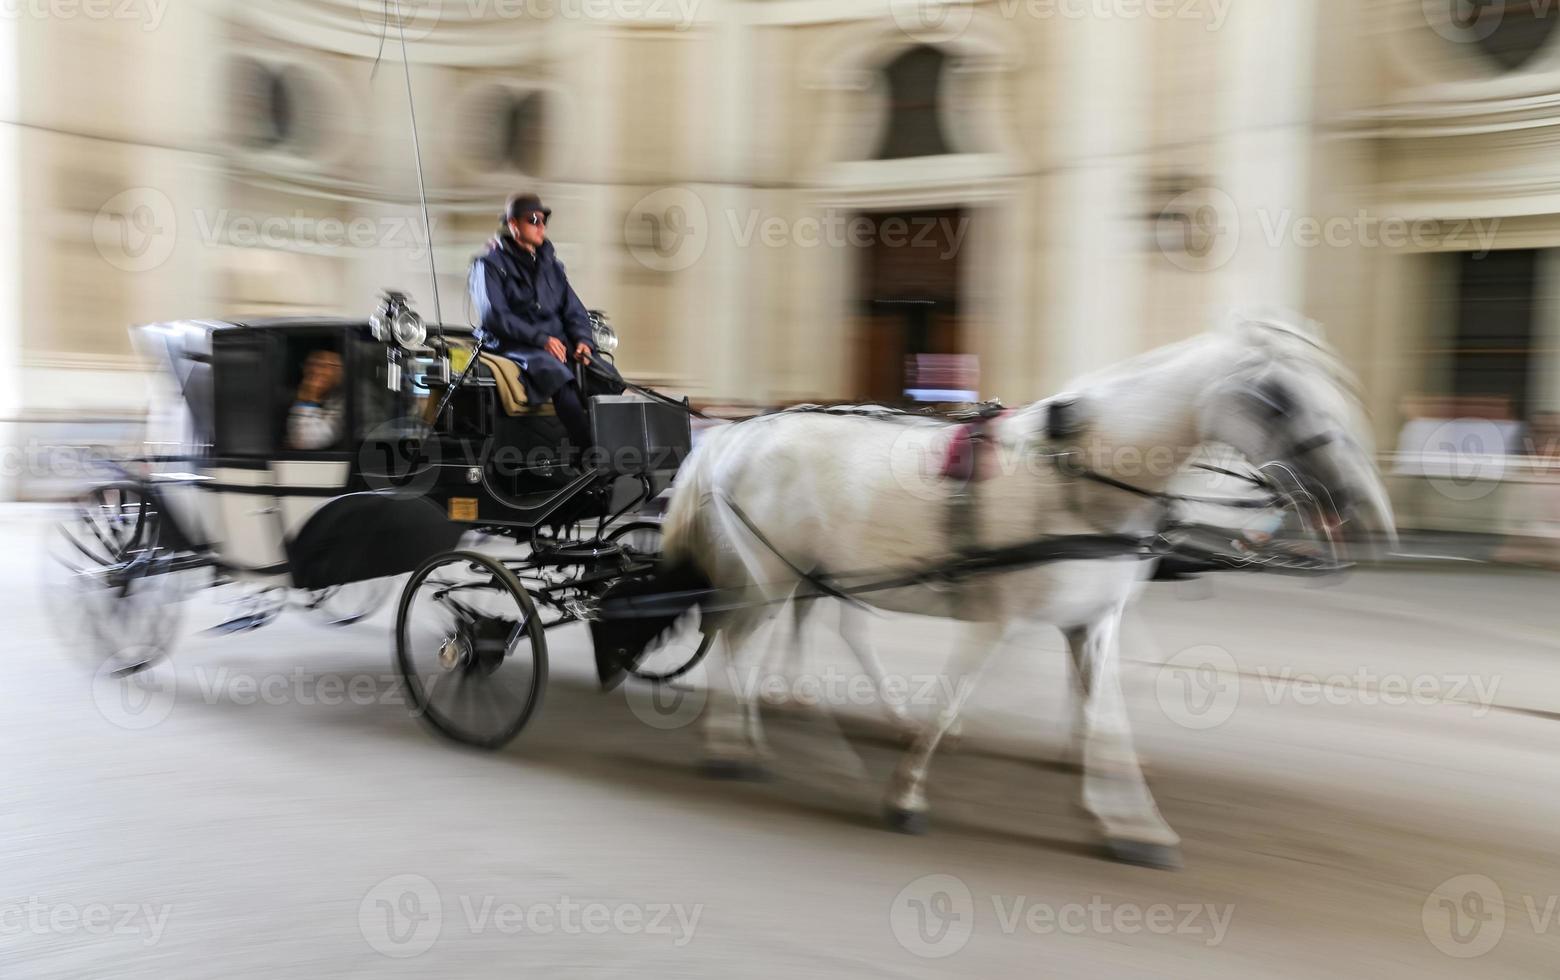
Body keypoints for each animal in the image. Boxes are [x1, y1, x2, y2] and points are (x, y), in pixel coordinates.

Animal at [639, 312, 1397, 867]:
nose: (1363, 507)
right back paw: (738, 745)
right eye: (1280, 399)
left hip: (810, 573)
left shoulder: (1093, 624)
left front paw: (1130, 823)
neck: (1078, 479)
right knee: (740, 642)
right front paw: (907, 794)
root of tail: (737, 433)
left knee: (782, 638)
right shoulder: (994, 621)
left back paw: (777, 724)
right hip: (770, 575)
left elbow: (1105, 719)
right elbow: (955, 701)